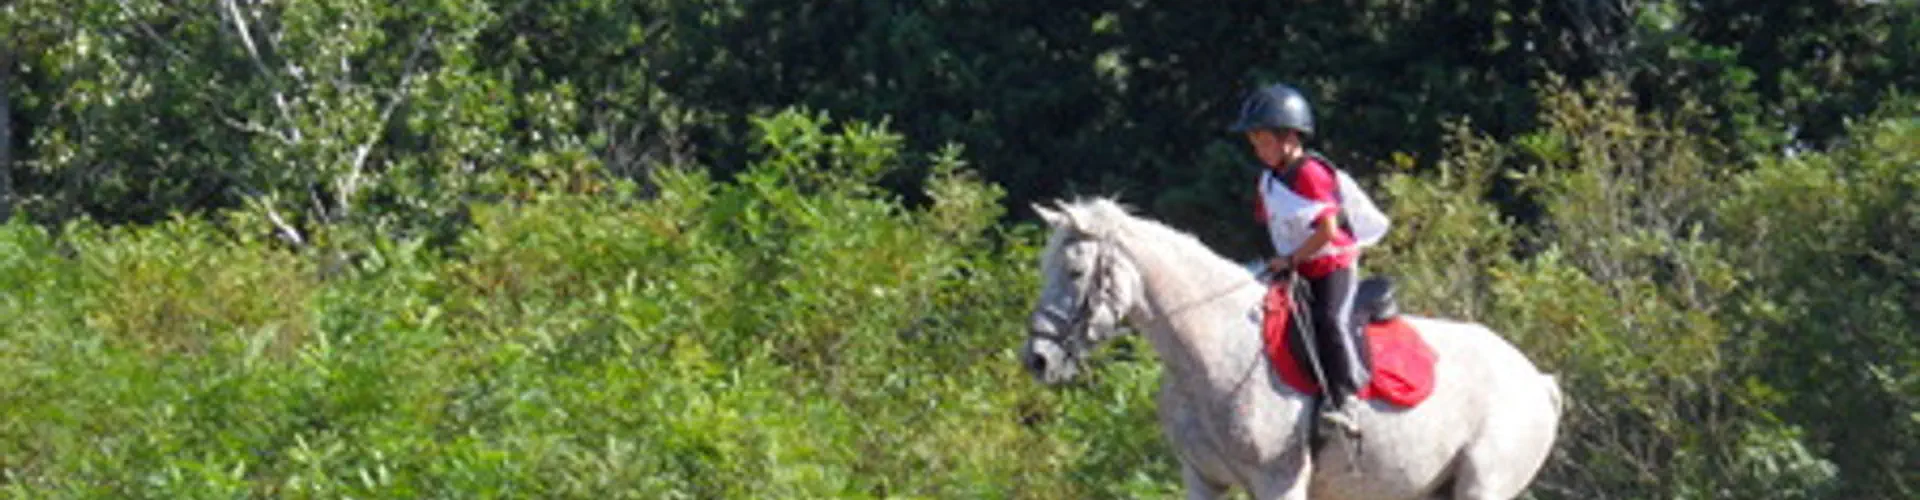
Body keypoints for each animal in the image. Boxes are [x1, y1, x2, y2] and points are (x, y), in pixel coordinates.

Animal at [1021, 197, 1559, 500]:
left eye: (1074, 272)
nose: (1038, 359)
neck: (1210, 345)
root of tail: (1537, 381)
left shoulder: (1279, 482)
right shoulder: (1203, 479)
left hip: (1483, 485)